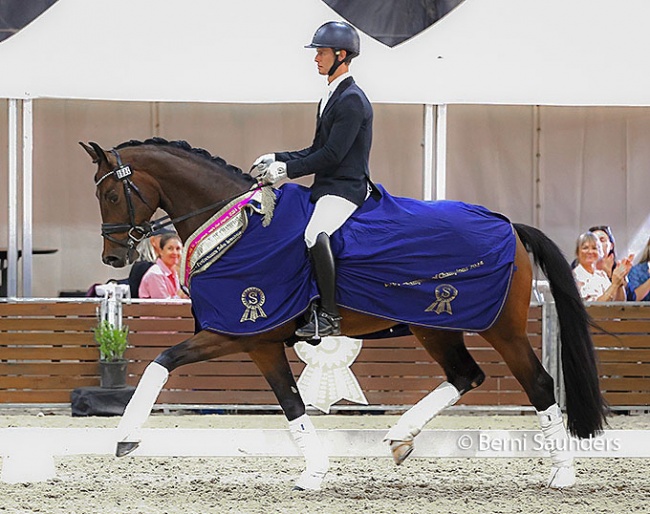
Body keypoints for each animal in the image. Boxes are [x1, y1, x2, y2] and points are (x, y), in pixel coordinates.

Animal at [82, 138, 608, 490]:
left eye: (110, 195)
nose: (112, 257)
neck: (239, 229)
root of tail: (510, 226)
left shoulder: (236, 331)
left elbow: (160, 362)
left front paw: (126, 436)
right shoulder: (261, 343)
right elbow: (291, 405)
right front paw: (314, 472)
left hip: (499, 327)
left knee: (538, 383)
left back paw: (563, 474)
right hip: (434, 326)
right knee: (466, 375)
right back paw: (400, 435)